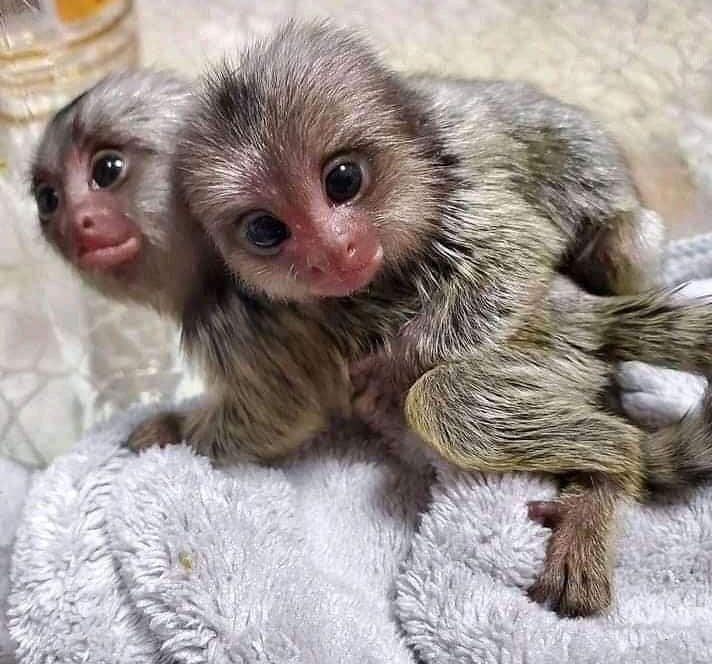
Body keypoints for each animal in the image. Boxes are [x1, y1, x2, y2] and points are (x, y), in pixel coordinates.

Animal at [173, 21, 712, 617]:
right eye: (266, 230)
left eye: (343, 180)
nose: (332, 253)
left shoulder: (466, 189)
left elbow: (511, 261)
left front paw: (396, 364)